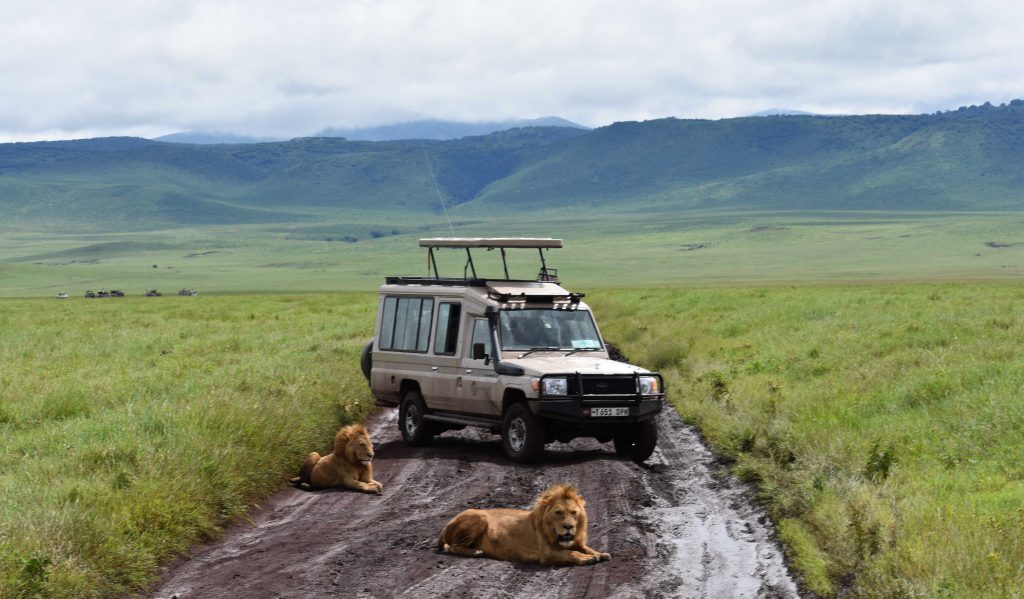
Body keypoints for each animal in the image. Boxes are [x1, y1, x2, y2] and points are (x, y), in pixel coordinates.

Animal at [438, 481, 606, 565]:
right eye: (558, 513)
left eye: (573, 512)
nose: (568, 527)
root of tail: (448, 523)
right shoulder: (547, 554)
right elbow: (571, 553)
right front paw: (588, 559)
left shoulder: (576, 542)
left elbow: (586, 548)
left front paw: (600, 554)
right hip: (479, 516)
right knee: (452, 547)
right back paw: (475, 552)